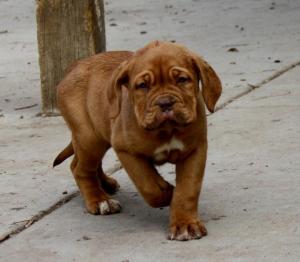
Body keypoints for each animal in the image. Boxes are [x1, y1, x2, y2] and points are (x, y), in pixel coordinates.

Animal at [54, 41, 220, 242]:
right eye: (142, 85)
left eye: (182, 80)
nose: (165, 102)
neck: (167, 130)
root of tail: (74, 67)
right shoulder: (126, 151)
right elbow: (149, 186)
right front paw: (167, 191)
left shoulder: (195, 149)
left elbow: (188, 189)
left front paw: (185, 224)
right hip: (89, 137)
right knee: (80, 169)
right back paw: (100, 200)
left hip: (97, 136)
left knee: (86, 164)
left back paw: (106, 184)